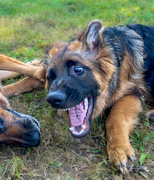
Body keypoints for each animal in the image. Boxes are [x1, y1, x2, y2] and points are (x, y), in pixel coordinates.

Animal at [44, 20, 154, 172]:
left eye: (77, 69)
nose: (53, 99)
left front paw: (119, 149)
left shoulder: (132, 92)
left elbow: (115, 118)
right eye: (51, 77)